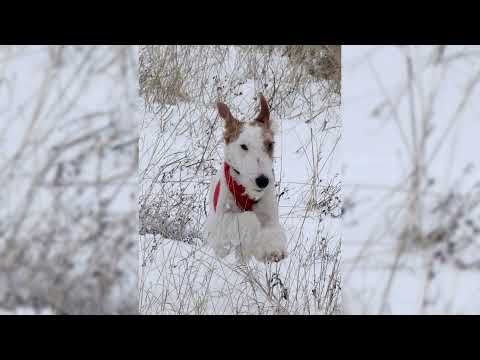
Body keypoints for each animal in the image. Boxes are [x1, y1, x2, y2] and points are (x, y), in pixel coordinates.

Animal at [203, 95, 288, 264]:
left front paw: (272, 249)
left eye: (270, 144)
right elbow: (249, 218)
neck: (246, 191)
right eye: (243, 146)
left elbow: (273, 231)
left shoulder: (270, 217)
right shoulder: (219, 222)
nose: (263, 181)